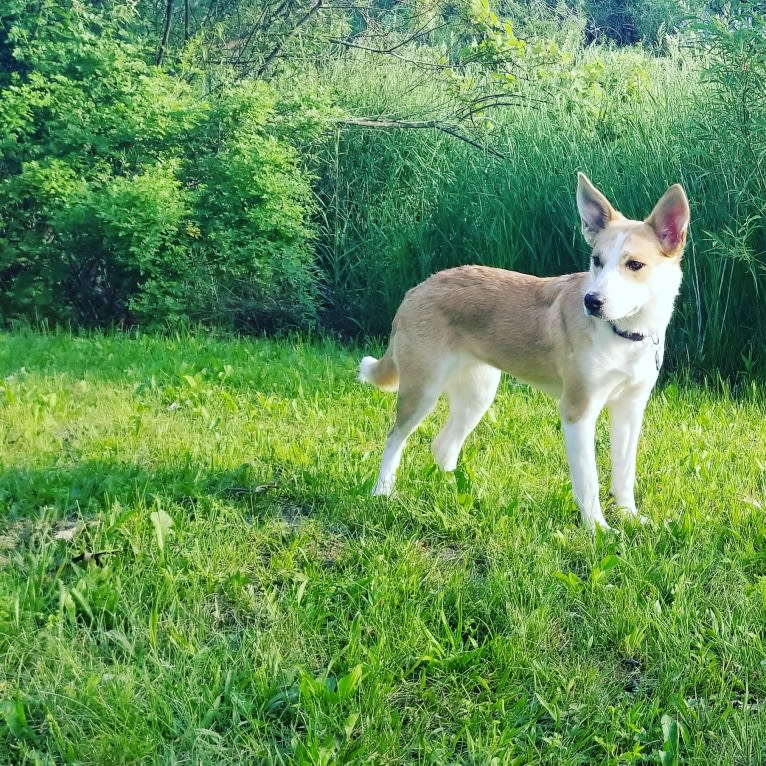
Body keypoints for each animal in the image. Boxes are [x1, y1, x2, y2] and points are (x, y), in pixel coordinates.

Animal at [358, 174, 688, 532]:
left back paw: (455, 497)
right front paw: (597, 529)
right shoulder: (577, 411)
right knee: (395, 438)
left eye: (635, 265)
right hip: (423, 389)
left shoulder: (630, 408)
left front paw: (630, 516)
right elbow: (588, 481)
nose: (592, 301)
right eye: (596, 260)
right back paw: (382, 492)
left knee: (443, 446)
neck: (624, 334)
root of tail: (418, 288)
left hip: (478, 393)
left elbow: (625, 473)